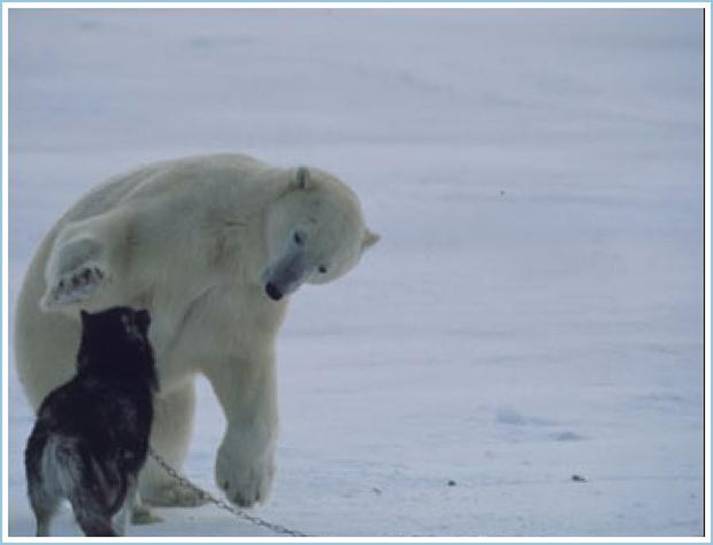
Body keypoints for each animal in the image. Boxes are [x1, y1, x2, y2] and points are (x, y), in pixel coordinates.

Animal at [13, 151, 378, 508]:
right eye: (299, 234)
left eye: (323, 266)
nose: (279, 286)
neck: (234, 244)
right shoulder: (180, 217)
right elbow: (115, 241)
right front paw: (77, 281)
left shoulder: (238, 298)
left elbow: (243, 368)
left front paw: (245, 486)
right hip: (52, 358)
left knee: (171, 421)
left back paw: (177, 492)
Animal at [24, 306, 156, 536]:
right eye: (132, 314)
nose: (147, 310)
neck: (107, 368)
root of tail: (60, 435)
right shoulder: (129, 474)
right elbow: (123, 518)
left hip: (43, 500)